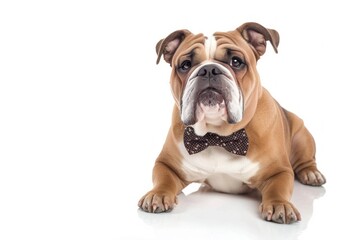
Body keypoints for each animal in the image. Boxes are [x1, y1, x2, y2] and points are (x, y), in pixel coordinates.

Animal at [138, 21, 326, 224]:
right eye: (185, 65)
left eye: (236, 61)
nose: (208, 69)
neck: (217, 135)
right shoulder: (166, 164)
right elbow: (163, 179)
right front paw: (157, 195)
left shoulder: (279, 171)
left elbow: (278, 188)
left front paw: (280, 205)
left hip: (302, 134)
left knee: (306, 161)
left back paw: (311, 173)